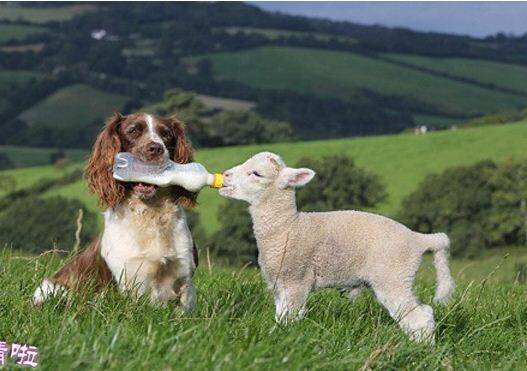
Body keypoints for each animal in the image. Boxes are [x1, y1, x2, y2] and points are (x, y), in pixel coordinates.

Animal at [33, 112, 199, 310]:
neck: (150, 213)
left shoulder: (184, 278)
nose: (155, 149)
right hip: (53, 289)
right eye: (133, 130)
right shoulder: (128, 282)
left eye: (165, 133)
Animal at [221, 153, 456, 344]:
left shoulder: (296, 280)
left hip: (393, 276)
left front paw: (285, 338)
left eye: (257, 173)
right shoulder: (280, 283)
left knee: (420, 316)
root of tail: (419, 239)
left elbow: (290, 318)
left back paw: (423, 350)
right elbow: (280, 316)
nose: (224, 175)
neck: (288, 227)